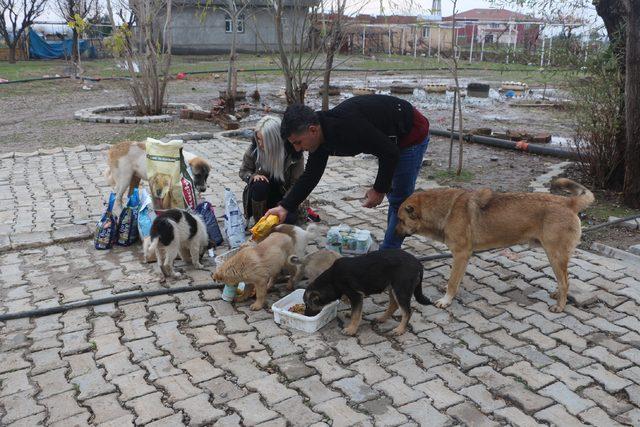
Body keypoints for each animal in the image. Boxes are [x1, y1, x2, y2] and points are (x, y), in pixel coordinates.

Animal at [302, 249, 432, 336]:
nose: (305, 315)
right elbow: (354, 309)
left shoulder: (355, 295)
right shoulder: (354, 295)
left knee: (407, 312)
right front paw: (350, 314)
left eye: (308, 305)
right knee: (394, 304)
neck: (331, 279)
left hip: (401, 289)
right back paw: (382, 318)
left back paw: (400, 329)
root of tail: (418, 263)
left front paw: (351, 329)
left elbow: (356, 313)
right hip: (392, 287)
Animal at [396, 178, 596, 314]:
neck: (446, 210)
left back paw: (560, 306)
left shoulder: (461, 254)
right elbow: (456, 279)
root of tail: (568, 202)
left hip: (555, 255)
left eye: (400, 220)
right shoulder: (463, 257)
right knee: (564, 280)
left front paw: (446, 300)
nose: (395, 233)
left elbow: (452, 283)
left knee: (565, 282)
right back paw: (558, 295)